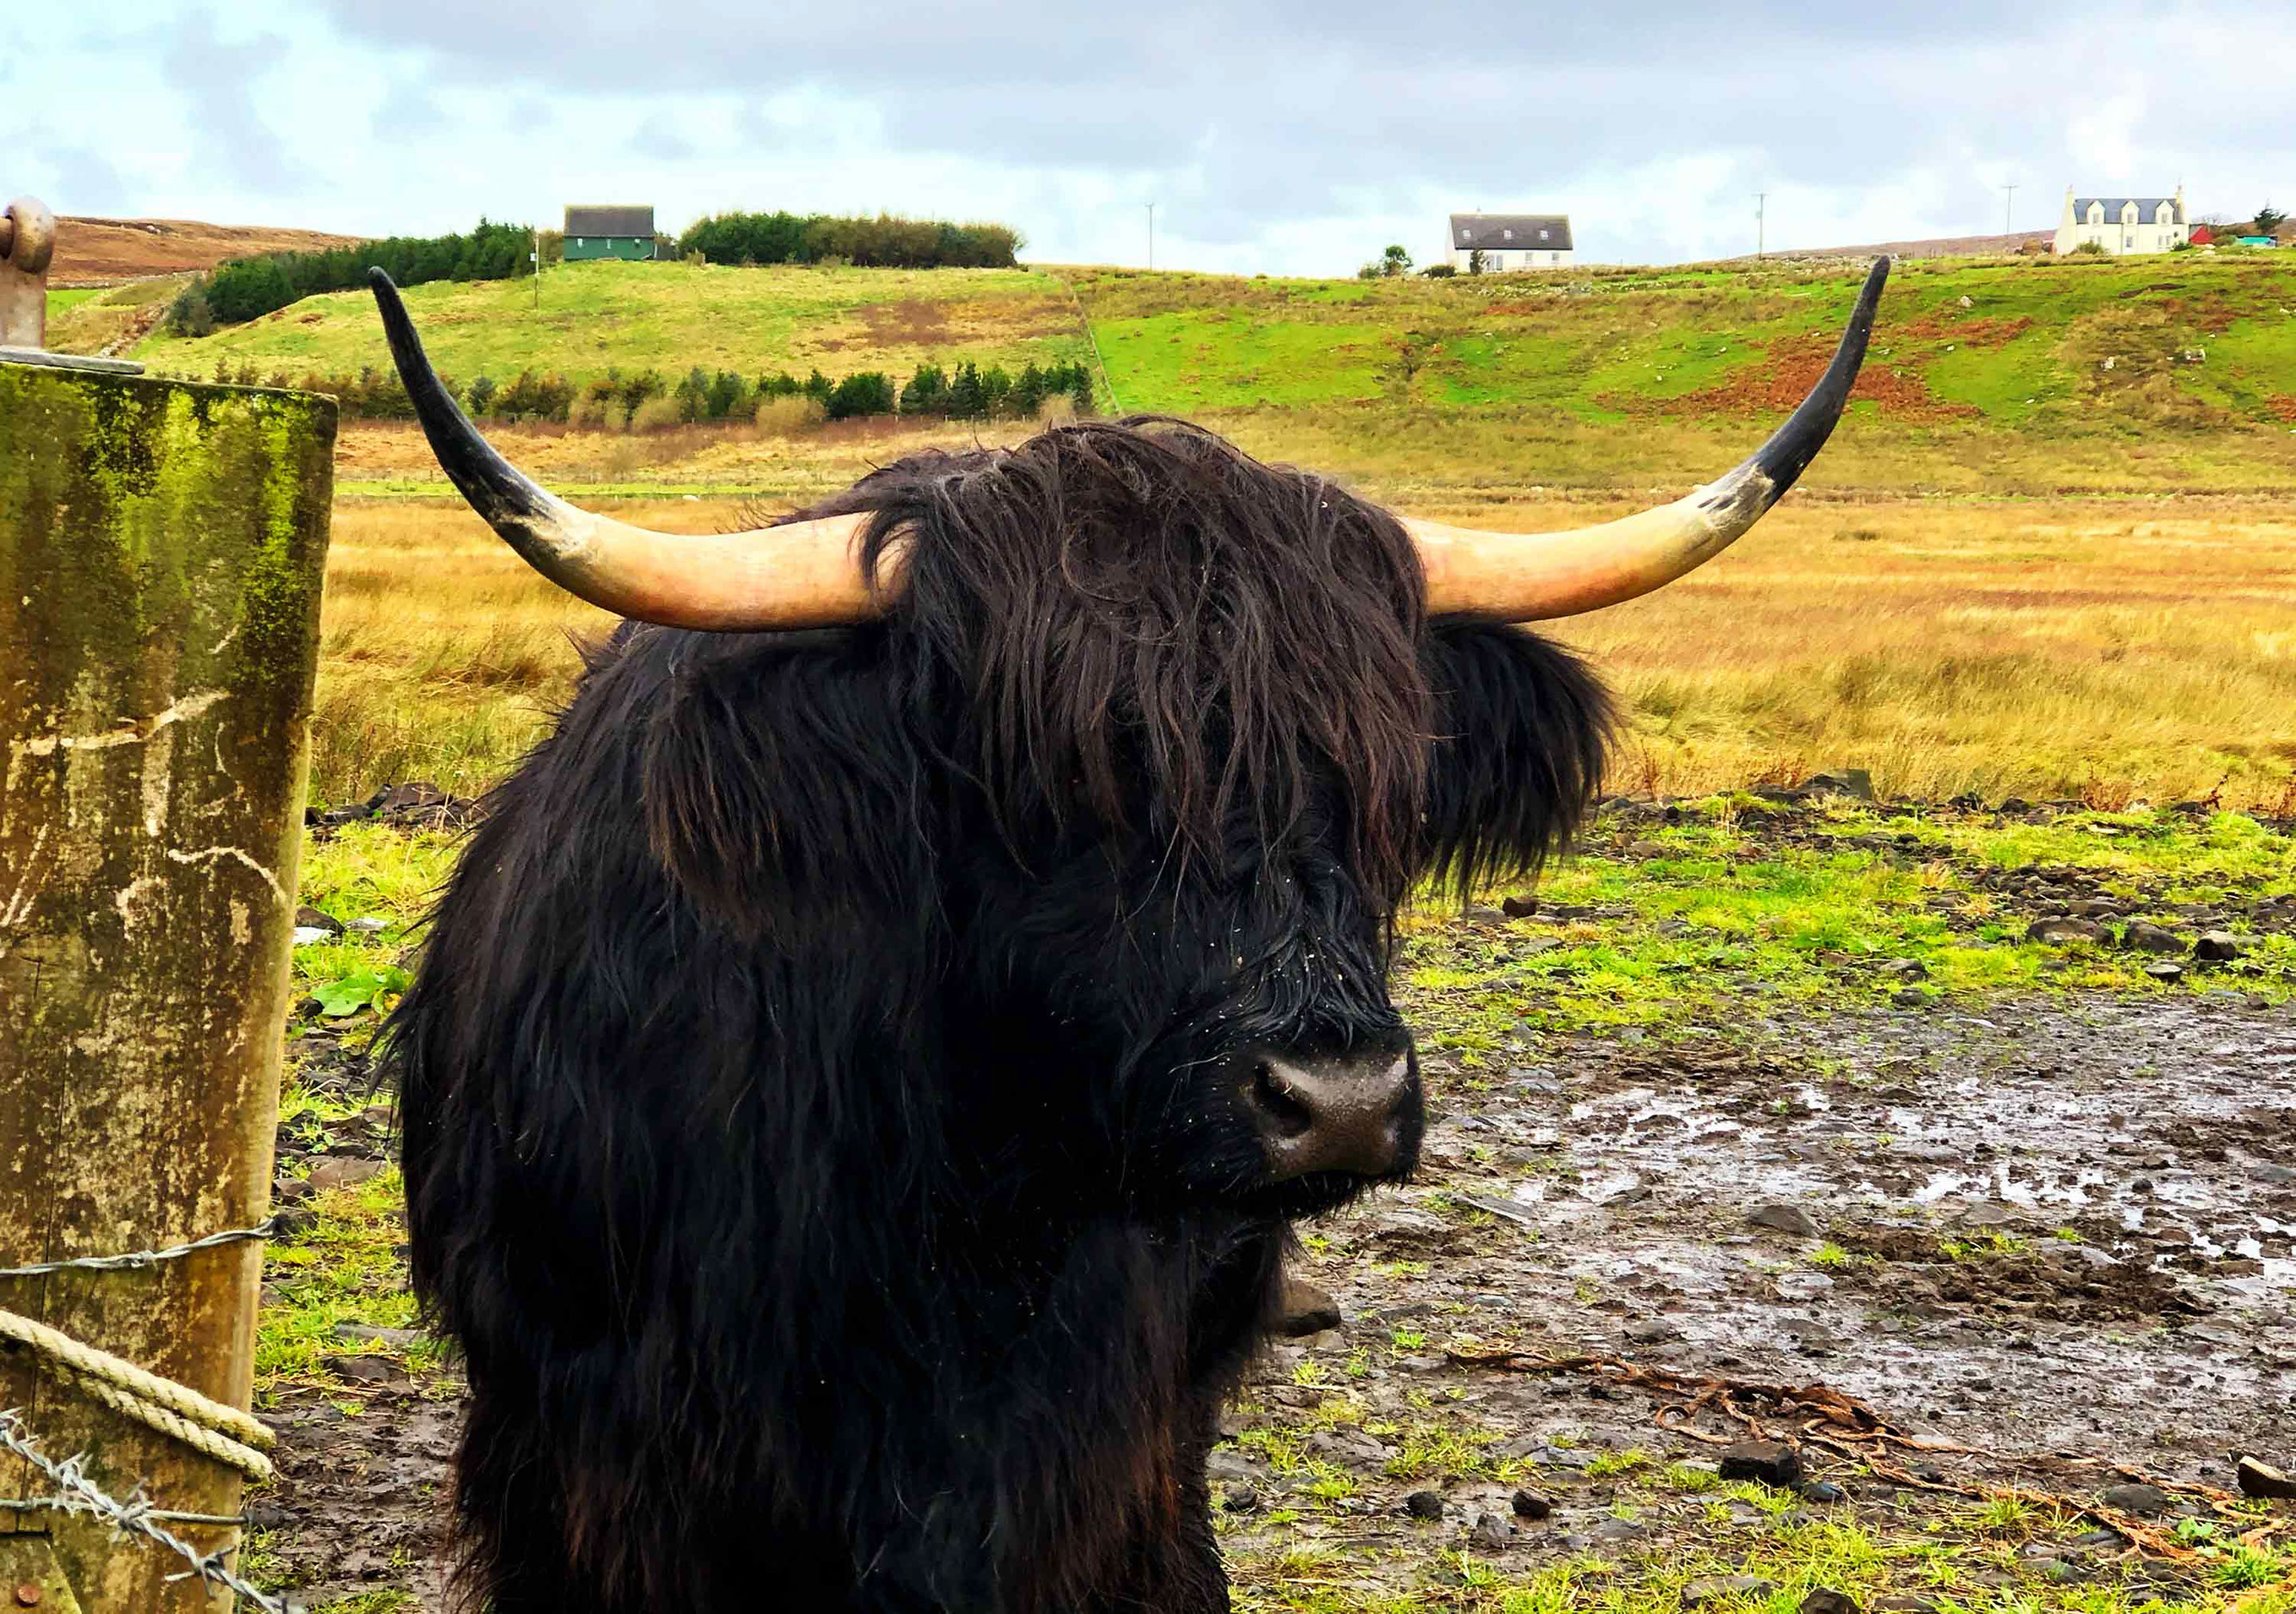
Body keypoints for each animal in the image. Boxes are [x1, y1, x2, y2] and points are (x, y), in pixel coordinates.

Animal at [371, 257, 1886, 1613]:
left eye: (1380, 783)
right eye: (1056, 783)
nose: (1340, 1100)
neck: (978, 1206)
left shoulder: (1123, 1455)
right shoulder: (607, 1454)